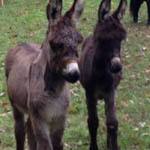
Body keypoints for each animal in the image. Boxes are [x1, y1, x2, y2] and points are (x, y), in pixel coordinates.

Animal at [4, 0, 84, 150]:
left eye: (79, 41)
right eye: (54, 44)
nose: (74, 74)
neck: (54, 93)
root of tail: (21, 43)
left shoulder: (60, 119)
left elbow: (58, 144)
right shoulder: (40, 120)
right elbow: (45, 145)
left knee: (29, 129)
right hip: (16, 106)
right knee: (19, 130)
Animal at [79, 0, 127, 150]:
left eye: (121, 39)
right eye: (102, 40)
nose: (117, 66)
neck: (100, 74)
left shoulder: (110, 92)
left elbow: (112, 123)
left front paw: (114, 146)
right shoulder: (89, 94)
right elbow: (93, 121)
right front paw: (93, 147)